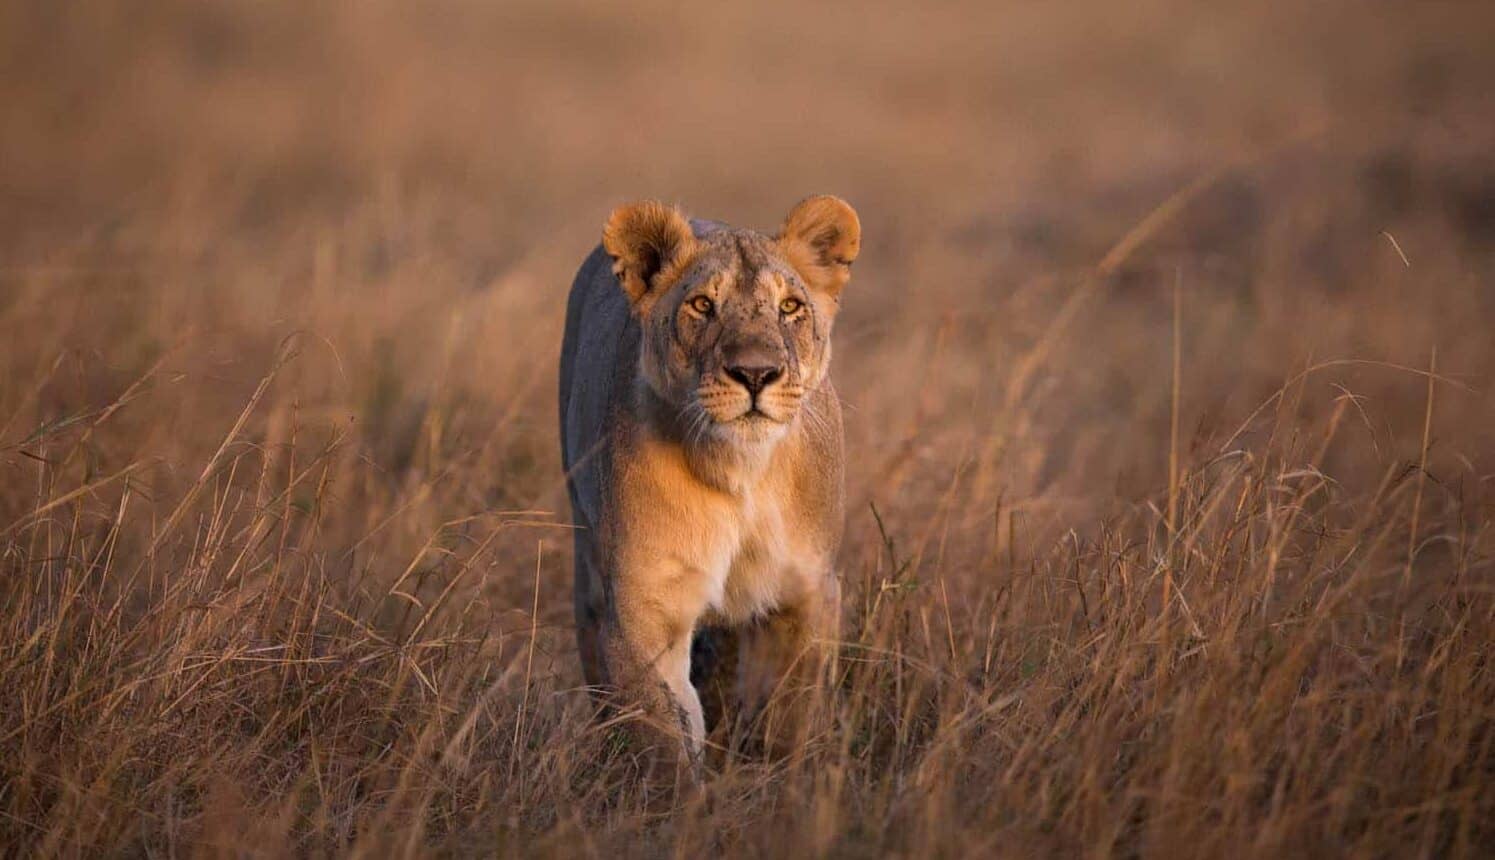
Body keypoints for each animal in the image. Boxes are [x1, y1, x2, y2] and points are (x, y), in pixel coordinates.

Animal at [558, 195, 860, 777]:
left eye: (790, 307)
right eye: (702, 305)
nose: (756, 374)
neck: (741, 472)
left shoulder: (808, 591)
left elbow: (792, 714)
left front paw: (787, 784)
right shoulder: (643, 609)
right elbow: (664, 737)